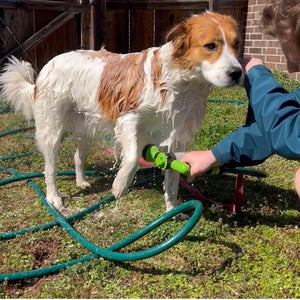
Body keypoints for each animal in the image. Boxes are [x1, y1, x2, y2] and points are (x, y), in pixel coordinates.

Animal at [0, 12, 244, 218]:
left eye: (236, 45)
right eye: (210, 46)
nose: (237, 73)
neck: (180, 84)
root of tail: (48, 64)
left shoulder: (176, 139)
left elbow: (172, 182)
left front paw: (172, 211)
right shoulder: (128, 118)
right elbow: (133, 157)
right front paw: (120, 186)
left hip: (85, 128)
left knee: (78, 156)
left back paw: (81, 181)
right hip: (52, 130)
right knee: (49, 168)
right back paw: (53, 198)